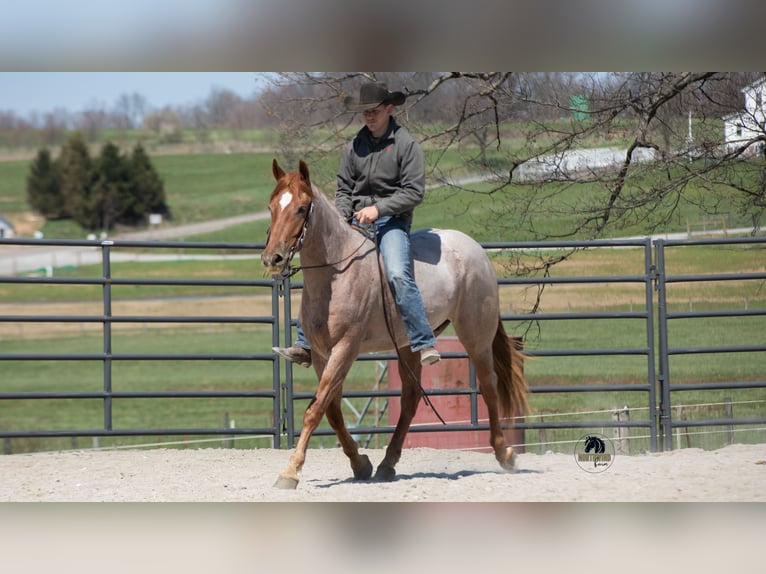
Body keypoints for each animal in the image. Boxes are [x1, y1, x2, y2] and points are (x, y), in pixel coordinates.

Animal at [261, 159, 529, 490]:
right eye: (271, 206)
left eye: (301, 208)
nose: (272, 258)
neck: (337, 272)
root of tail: (475, 249)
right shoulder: (323, 354)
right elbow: (331, 410)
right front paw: (360, 463)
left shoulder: (345, 349)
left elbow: (315, 410)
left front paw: (290, 472)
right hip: (408, 346)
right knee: (411, 399)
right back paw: (387, 464)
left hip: (476, 336)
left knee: (488, 386)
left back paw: (505, 454)